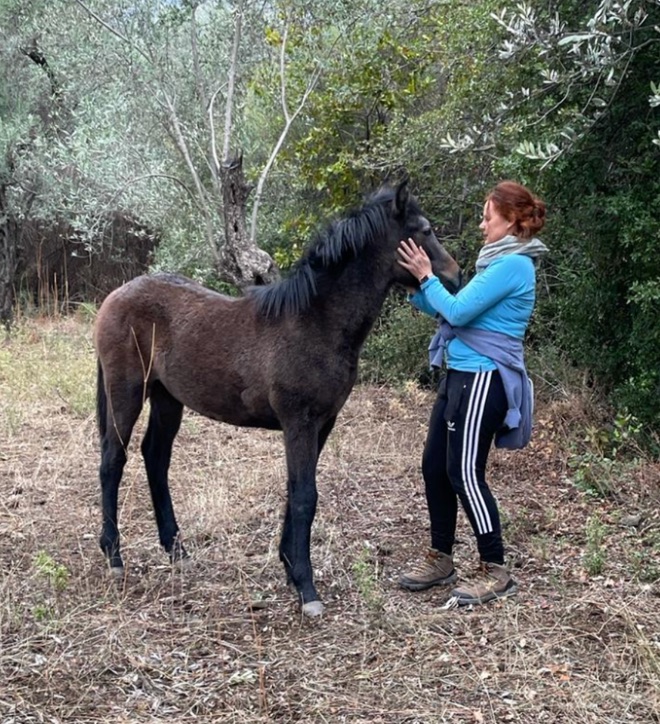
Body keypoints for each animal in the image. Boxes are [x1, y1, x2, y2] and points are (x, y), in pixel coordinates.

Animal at [94, 180, 461, 616]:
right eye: (424, 230)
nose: (456, 276)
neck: (314, 321)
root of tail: (115, 296)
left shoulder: (323, 422)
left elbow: (297, 491)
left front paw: (289, 566)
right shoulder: (298, 421)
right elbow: (304, 496)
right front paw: (306, 589)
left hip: (168, 398)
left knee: (155, 457)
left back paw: (176, 550)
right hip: (127, 392)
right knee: (112, 460)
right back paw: (114, 557)